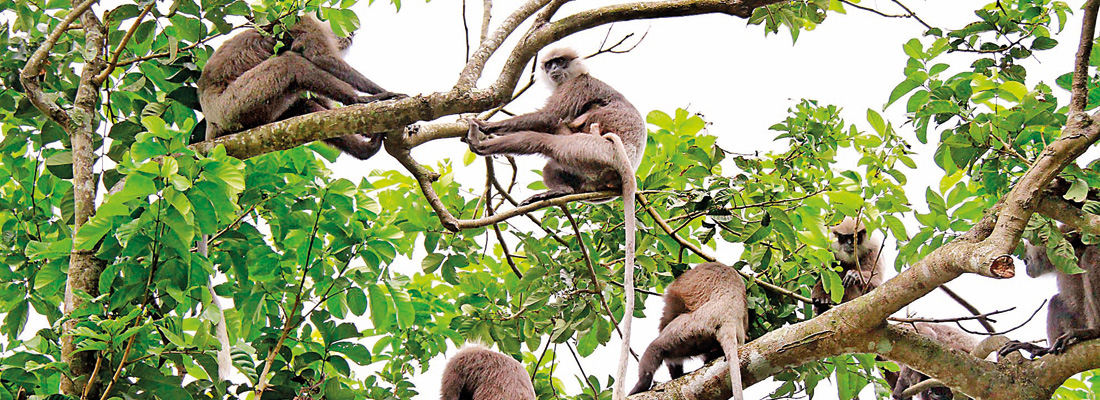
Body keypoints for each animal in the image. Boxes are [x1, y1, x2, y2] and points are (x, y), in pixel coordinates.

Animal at [197, 12, 402, 159]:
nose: (352, 34)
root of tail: (211, 123)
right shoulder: (307, 24)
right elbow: (321, 58)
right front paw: (375, 95)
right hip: (233, 106)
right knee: (291, 63)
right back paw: (358, 101)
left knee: (305, 106)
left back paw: (365, 150)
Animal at [465, 47, 646, 400]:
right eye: (549, 64)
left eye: (560, 62)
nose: (554, 70)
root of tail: (620, 173)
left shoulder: (577, 86)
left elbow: (547, 118)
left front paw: (485, 124)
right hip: (589, 166)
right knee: (553, 158)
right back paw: (559, 191)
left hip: (592, 150)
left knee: (548, 138)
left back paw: (483, 143)